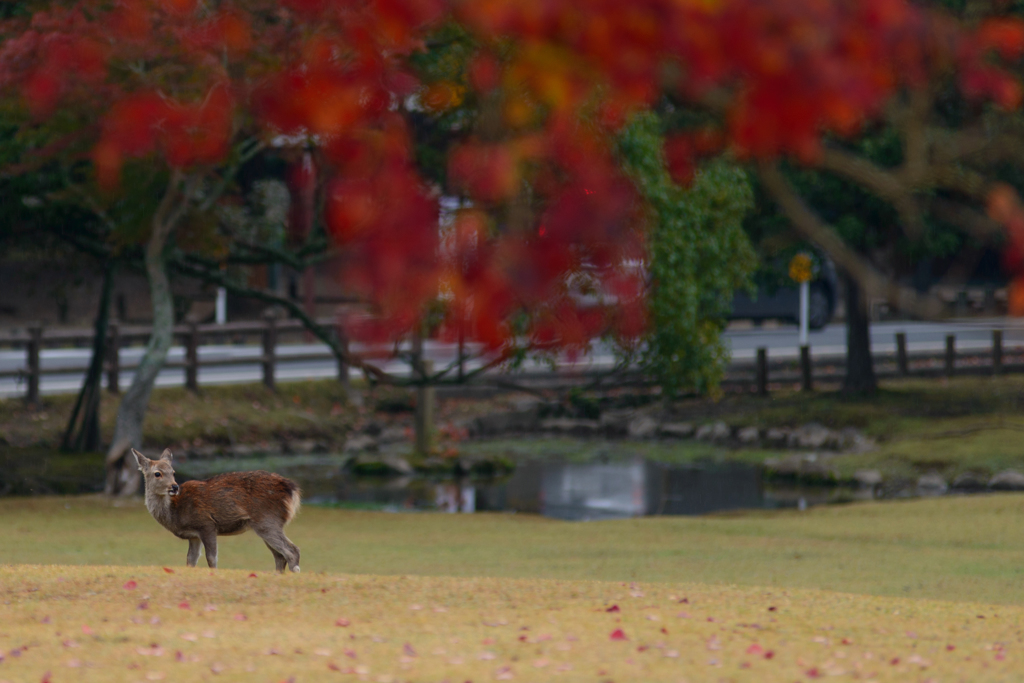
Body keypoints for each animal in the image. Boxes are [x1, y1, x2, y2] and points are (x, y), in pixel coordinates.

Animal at [132, 448, 301, 573]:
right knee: (280, 556)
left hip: (267, 520)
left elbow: (211, 558)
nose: (174, 487)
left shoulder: (206, 524)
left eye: (173, 472)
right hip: (265, 524)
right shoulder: (193, 536)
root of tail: (292, 489)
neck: (176, 512)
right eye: (157, 473)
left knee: (292, 551)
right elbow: (190, 560)